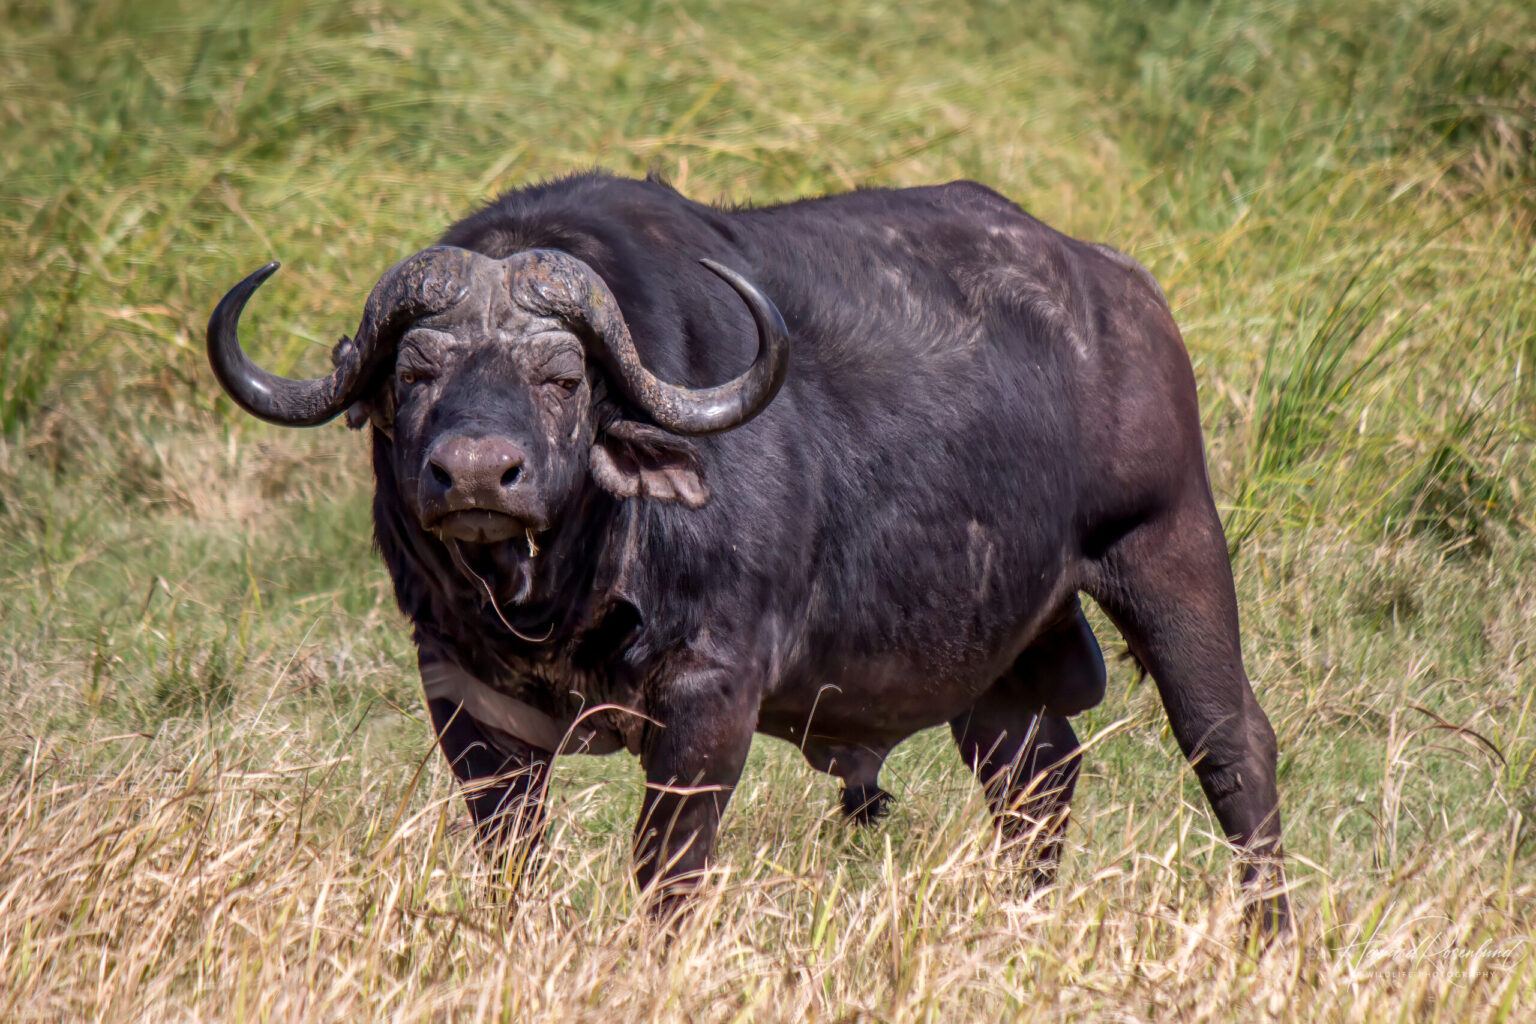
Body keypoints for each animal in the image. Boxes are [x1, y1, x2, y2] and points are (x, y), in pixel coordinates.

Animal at [208, 172, 1288, 930]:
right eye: (415, 371)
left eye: (562, 376)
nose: (475, 474)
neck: (562, 587)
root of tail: (1122, 288)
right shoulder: (464, 697)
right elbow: (513, 860)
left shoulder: (709, 701)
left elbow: (666, 871)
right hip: (994, 656)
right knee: (1037, 776)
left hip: (1172, 546)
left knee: (1231, 745)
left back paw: (1267, 934)